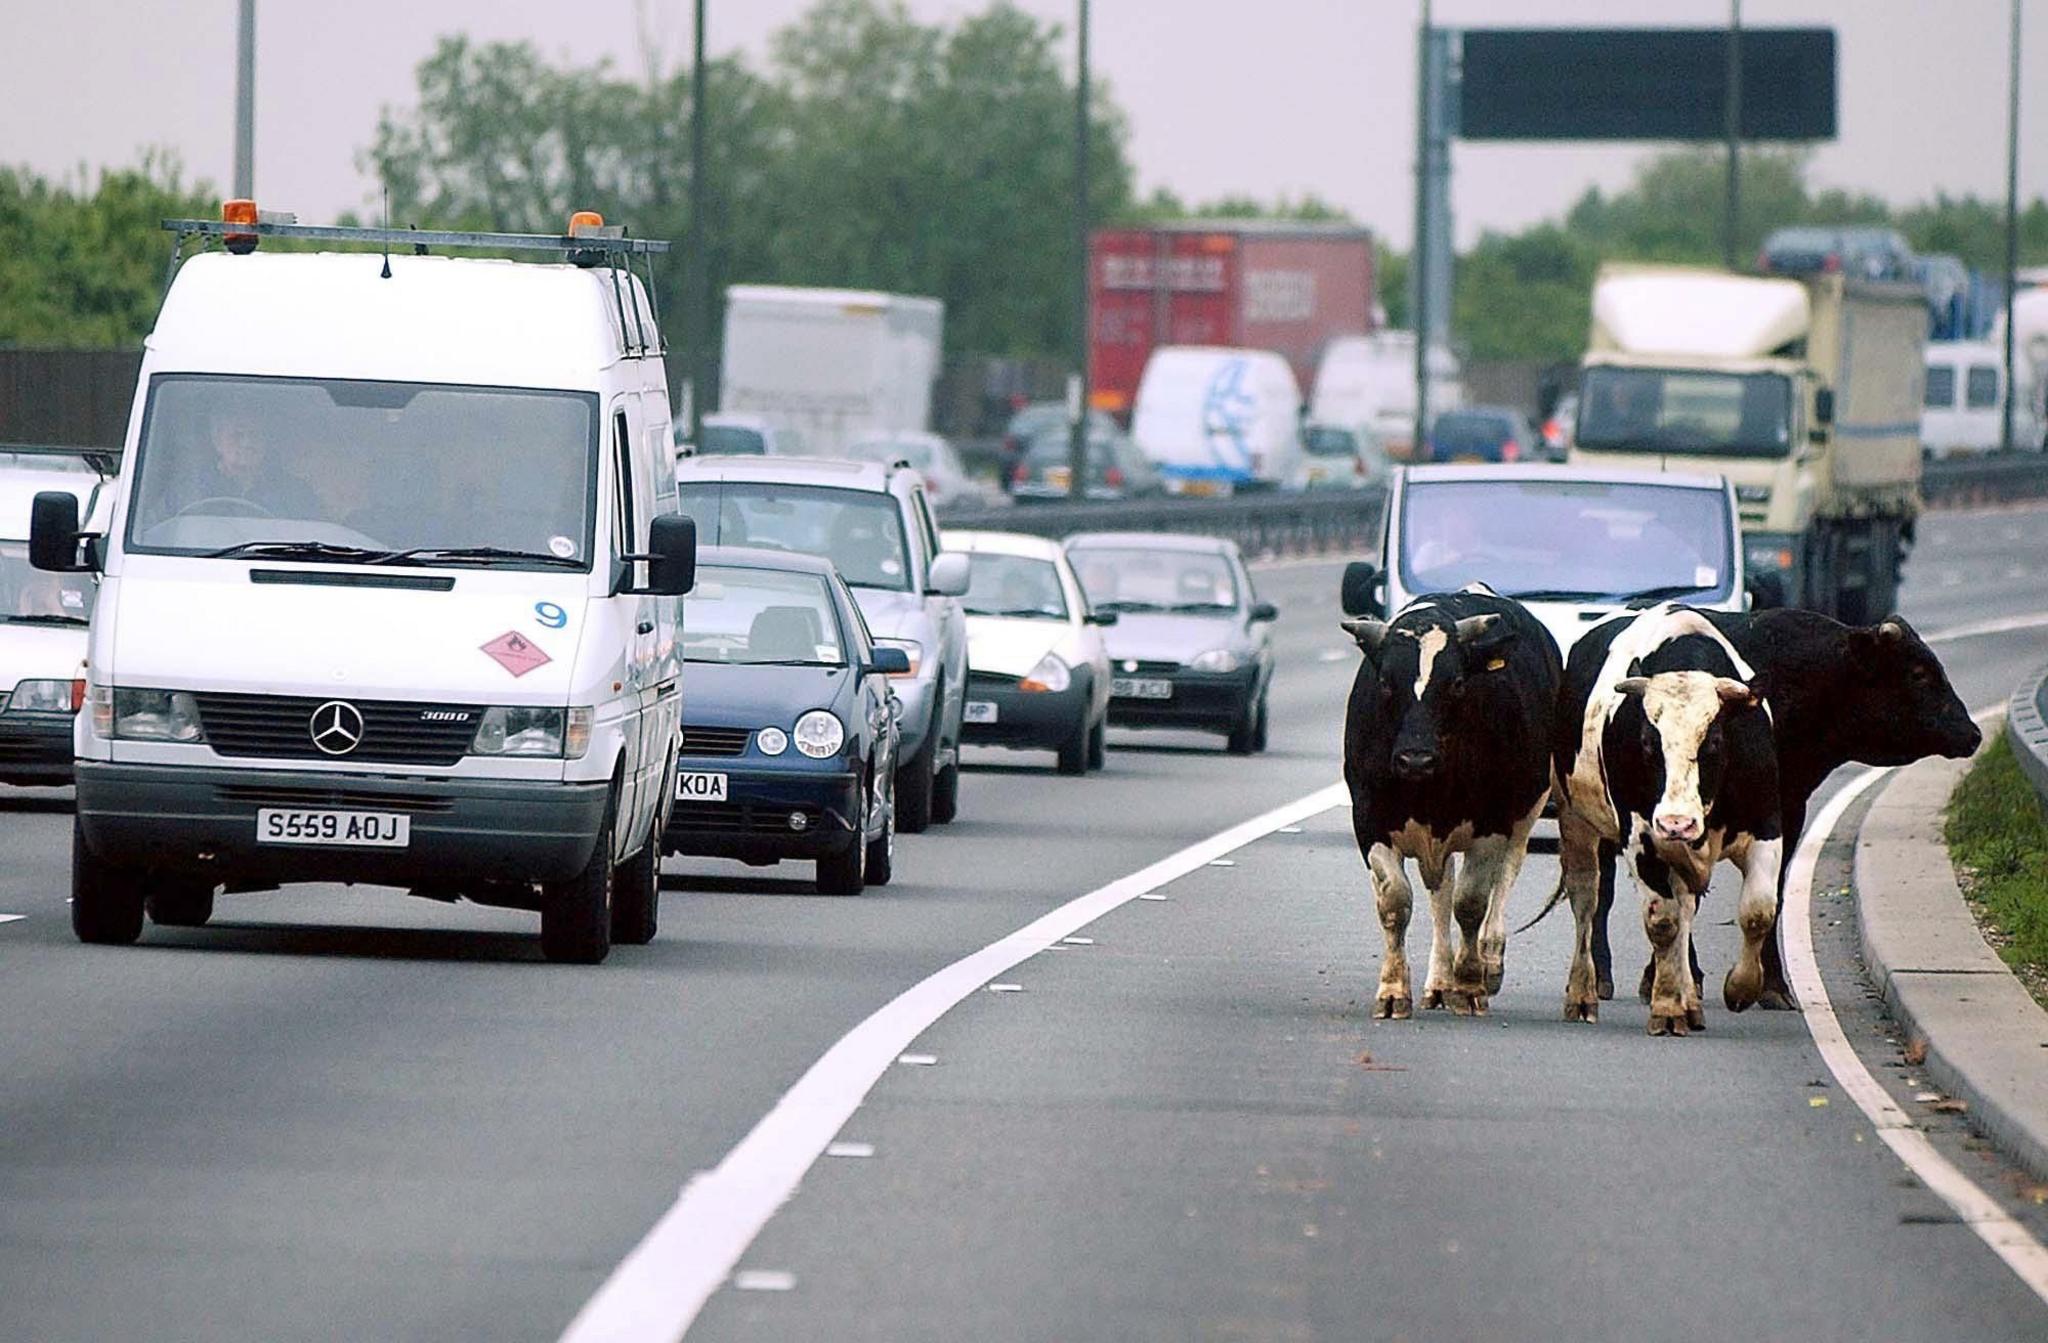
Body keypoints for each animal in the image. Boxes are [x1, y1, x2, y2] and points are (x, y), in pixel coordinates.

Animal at [1335, 585, 1556, 1019]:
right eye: (1385, 681)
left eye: (1455, 682)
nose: (1415, 759)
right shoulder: (1369, 819)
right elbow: (1396, 901)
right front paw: (1393, 991)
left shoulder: (1491, 824)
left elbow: (1470, 903)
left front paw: (1469, 984)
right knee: (1440, 892)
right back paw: (1439, 982)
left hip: (1526, 811)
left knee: (1503, 878)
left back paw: (1489, 963)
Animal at [1581, 610, 1982, 1007]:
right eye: (1918, 673)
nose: (1973, 733)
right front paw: (1679, 977)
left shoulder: (1785, 813)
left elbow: (1771, 894)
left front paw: (1770, 983)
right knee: (1601, 890)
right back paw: (1599, 976)